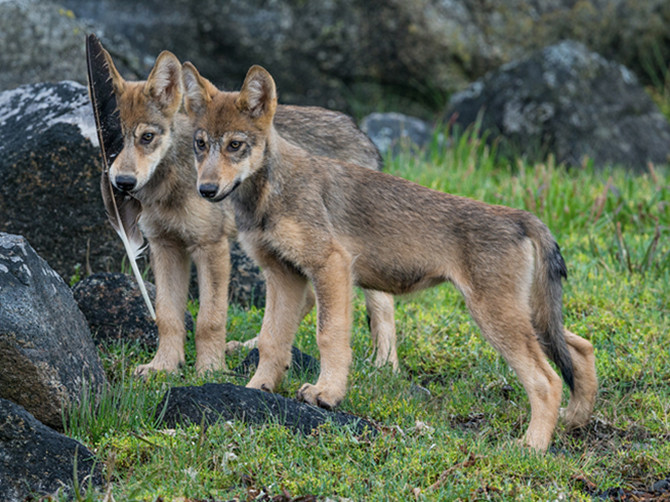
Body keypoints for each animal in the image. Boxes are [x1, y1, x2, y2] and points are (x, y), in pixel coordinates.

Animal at [97, 48, 396, 376]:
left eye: (147, 137)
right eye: (111, 141)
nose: (123, 183)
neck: (170, 182)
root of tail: (363, 136)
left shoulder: (211, 247)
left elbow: (209, 320)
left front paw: (209, 370)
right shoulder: (164, 247)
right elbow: (167, 316)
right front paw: (163, 367)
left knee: (383, 305)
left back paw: (385, 365)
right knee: (305, 300)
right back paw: (249, 346)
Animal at [182, 62, 600, 452]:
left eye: (235, 145)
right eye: (200, 144)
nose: (206, 189)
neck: (270, 192)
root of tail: (521, 217)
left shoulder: (331, 267)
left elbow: (328, 337)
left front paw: (326, 394)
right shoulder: (283, 276)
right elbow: (271, 341)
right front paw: (258, 388)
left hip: (497, 318)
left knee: (547, 380)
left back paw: (531, 447)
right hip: (530, 318)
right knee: (581, 348)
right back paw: (575, 420)